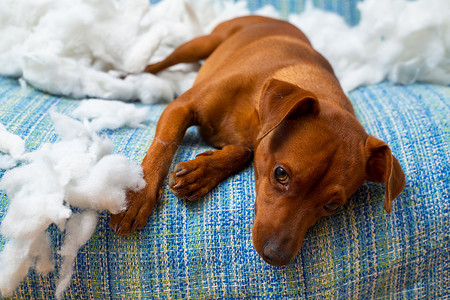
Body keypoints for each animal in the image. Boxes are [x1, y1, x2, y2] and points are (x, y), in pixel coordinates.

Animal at [110, 15, 406, 266]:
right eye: (281, 174)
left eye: (332, 206)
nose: (276, 257)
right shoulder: (180, 107)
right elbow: (164, 146)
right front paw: (138, 195)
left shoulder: (251, 141)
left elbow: (244, 153)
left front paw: (201, 172)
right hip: (200, 44)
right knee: (157, 64)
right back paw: (127, 77)